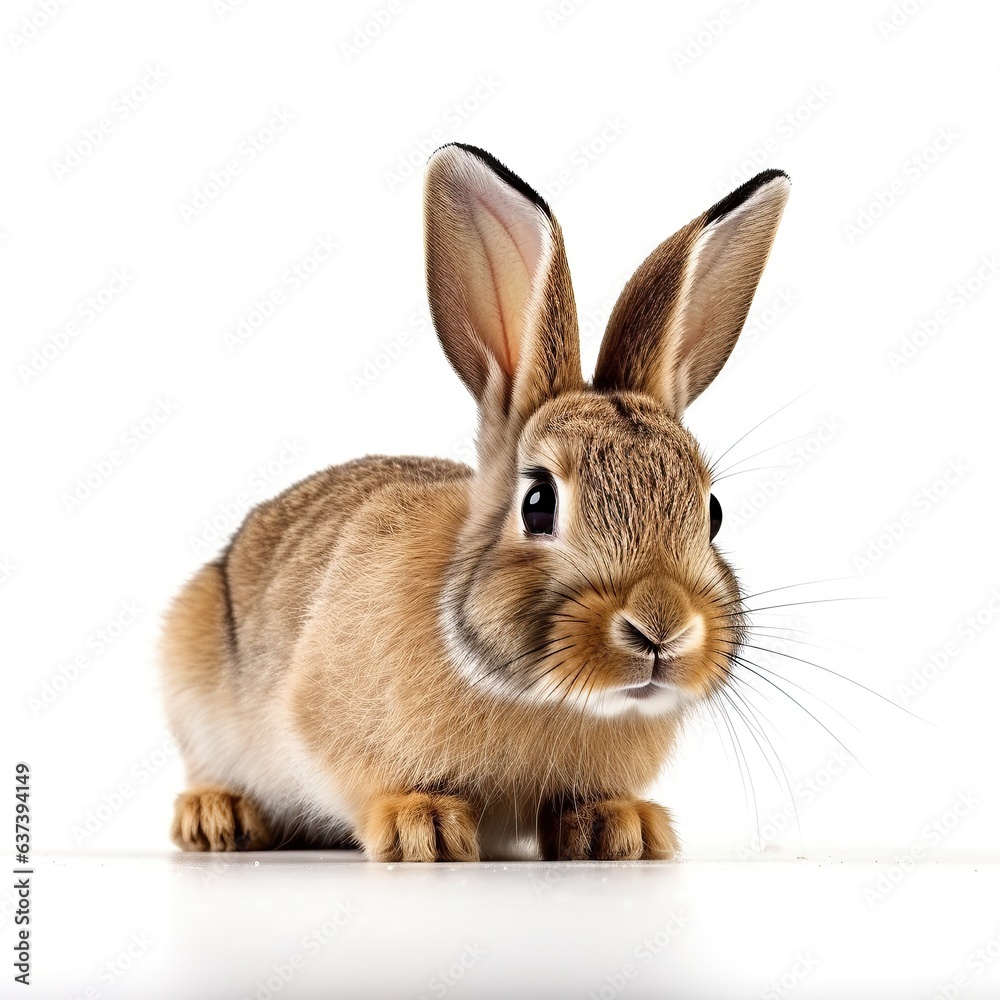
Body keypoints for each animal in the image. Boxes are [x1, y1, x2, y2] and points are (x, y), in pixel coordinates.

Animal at [160, 143, 789, 862]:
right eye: (538, 502)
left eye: (712, 512)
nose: (662, 625)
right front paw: (424, 828)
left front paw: (621, 828)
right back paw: (217, 817)